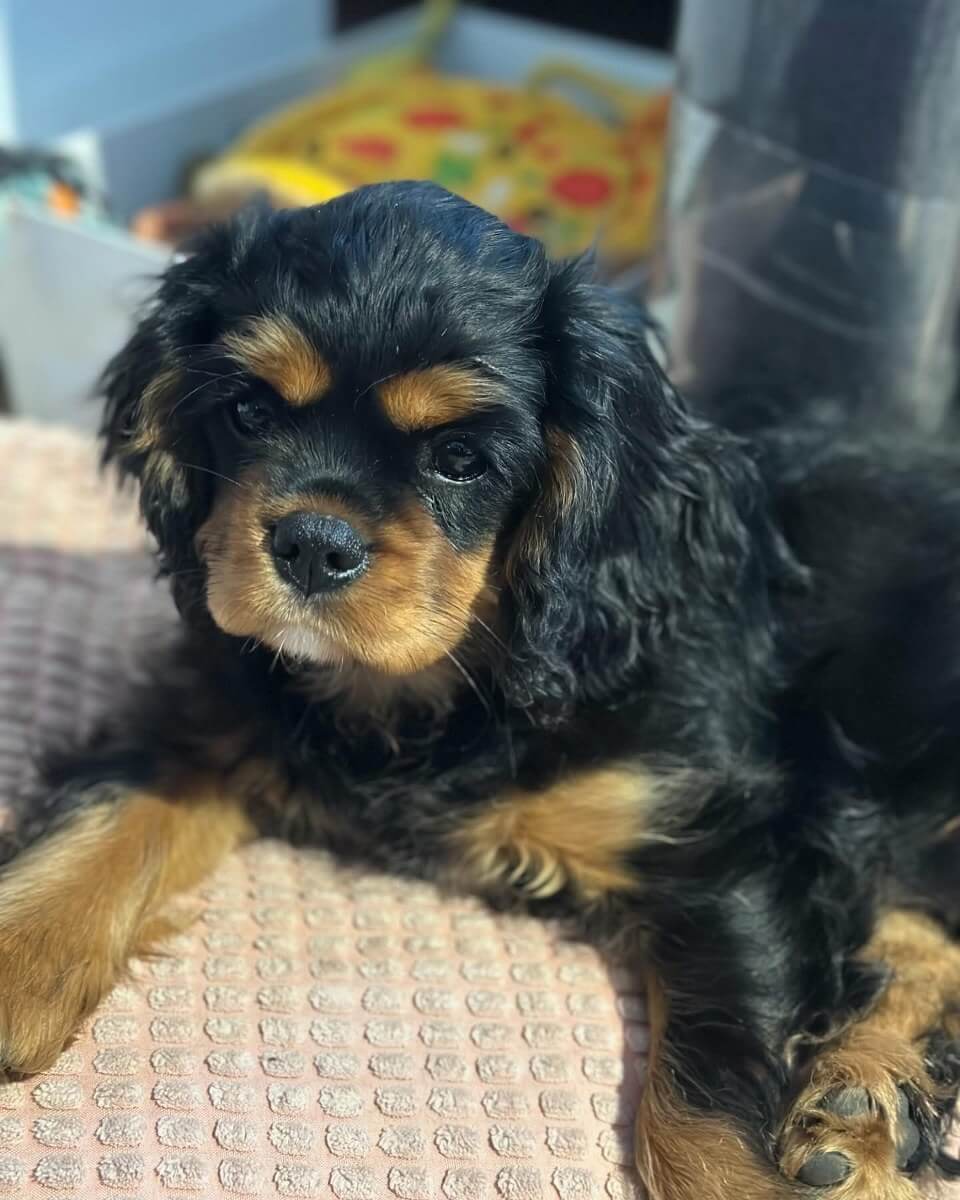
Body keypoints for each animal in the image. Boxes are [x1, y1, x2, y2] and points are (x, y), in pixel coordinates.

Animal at [2, 181, 959, 1199]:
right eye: (250, 414)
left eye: (460, 460)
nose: (311, 543)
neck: (431, 687)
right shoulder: (209, 712)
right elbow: (105, 817)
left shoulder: (720, 842)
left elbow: (706, 1098)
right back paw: (865, 1098)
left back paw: (855, 1099)